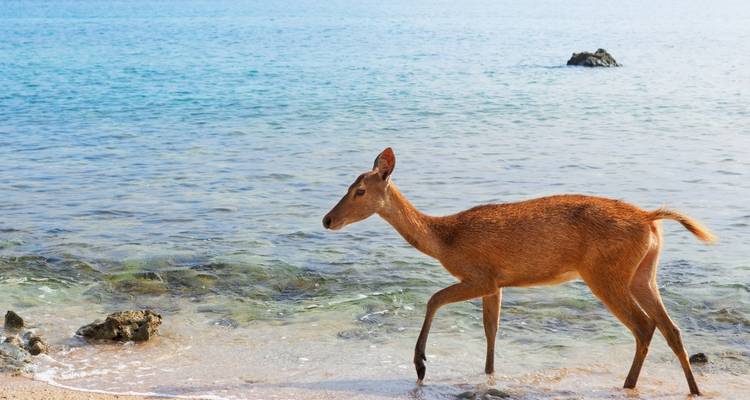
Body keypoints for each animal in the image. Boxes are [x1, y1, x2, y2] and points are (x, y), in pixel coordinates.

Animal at [322, 147, 716, 396]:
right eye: (348, 186)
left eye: (359, 190)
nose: (327, 219)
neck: (445, 239)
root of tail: (650, 219)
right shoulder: (496, 283)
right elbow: (491, 329)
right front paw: (488, 375)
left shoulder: (480, 274)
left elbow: (434, 299)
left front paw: (420, 364)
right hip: (643, 273)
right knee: (671, 328)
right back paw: (694, 389)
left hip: (605, 273)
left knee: (644, 326)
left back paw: (628, 385)